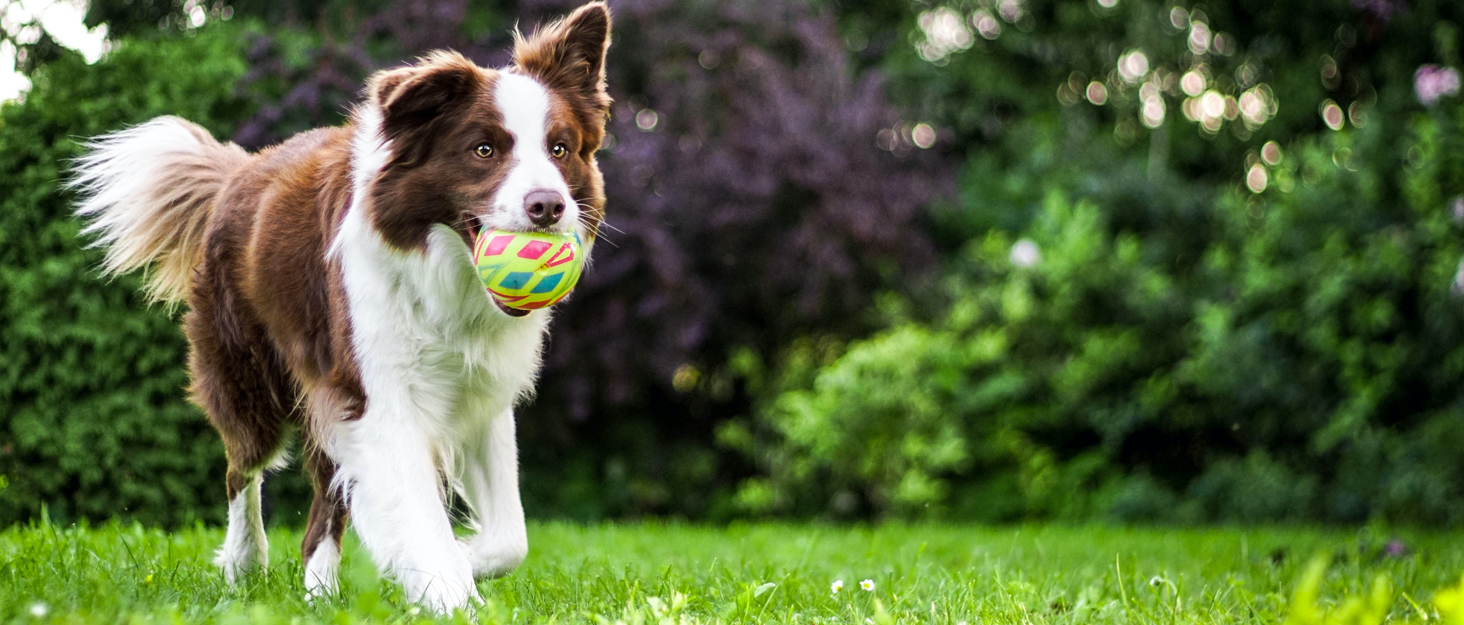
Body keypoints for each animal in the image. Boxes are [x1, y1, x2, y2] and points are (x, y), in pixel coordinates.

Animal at [67, 1, 606, 611]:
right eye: (484, 150)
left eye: (560, 149)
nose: (548, 206)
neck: (446, 277)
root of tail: (239, 171)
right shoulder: (380, 394)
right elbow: (421, 514)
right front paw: (449, 592)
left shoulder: (478, 394)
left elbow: (510, 538)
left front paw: (448, 565)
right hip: (250, 376)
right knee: (242, 468)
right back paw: (245, 563)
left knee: (324, 501)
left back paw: (319, 593)